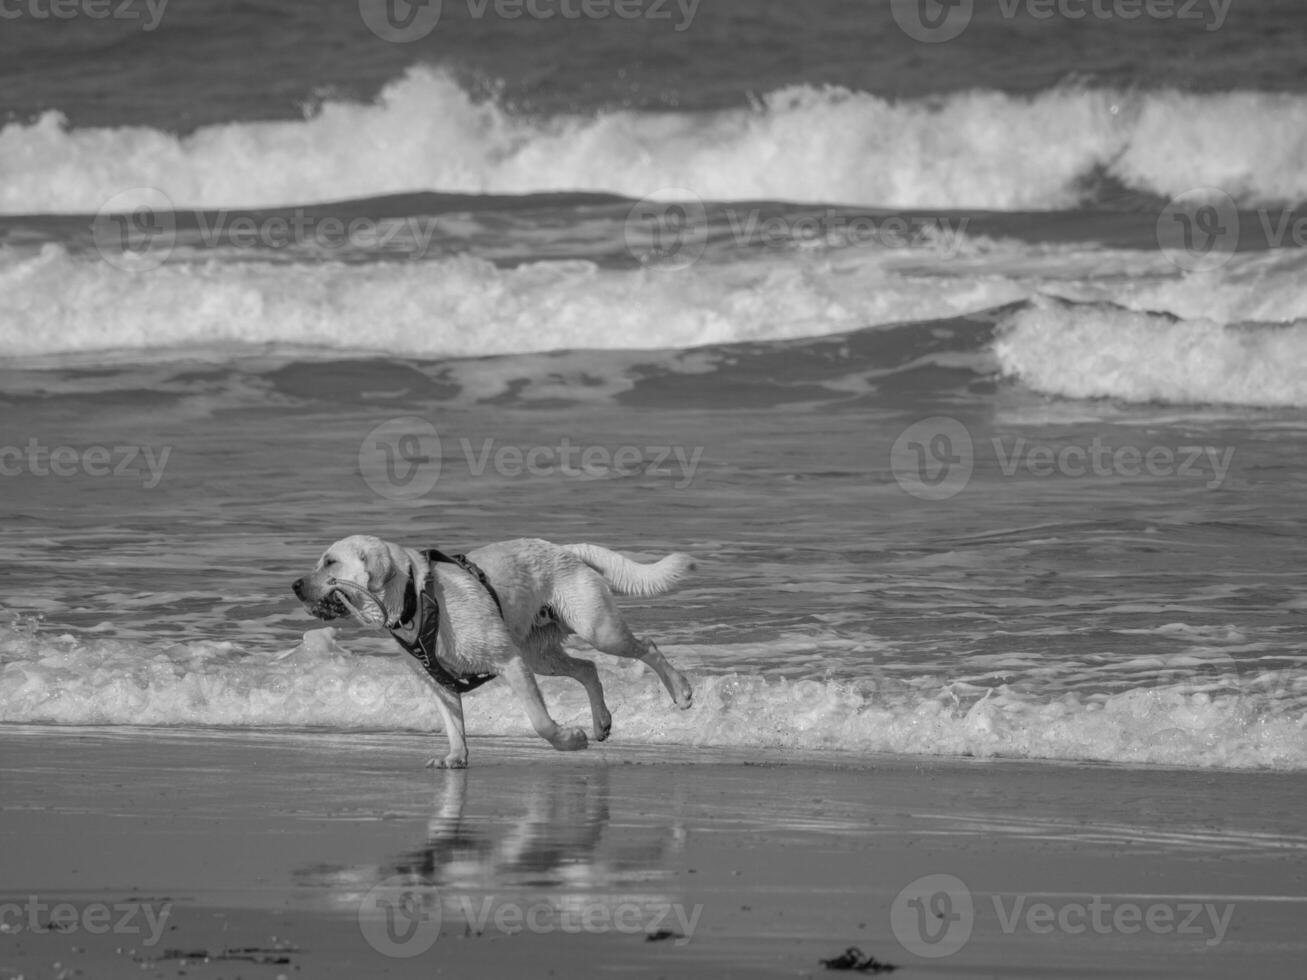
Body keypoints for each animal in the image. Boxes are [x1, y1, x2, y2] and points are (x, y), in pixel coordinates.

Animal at [288, 540, 695, 773]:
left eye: (330, 563)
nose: (293, 585)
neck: (416, 598)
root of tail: (563, 547)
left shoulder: (509, 662)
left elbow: (540, 722)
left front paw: (569, 739)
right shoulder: (439, 681)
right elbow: (454, 725)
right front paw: (455, 758)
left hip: (597, 630)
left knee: (647, 647)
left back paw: (680, 691)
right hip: (540, 655)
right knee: (588, 668)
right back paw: (601, 722)